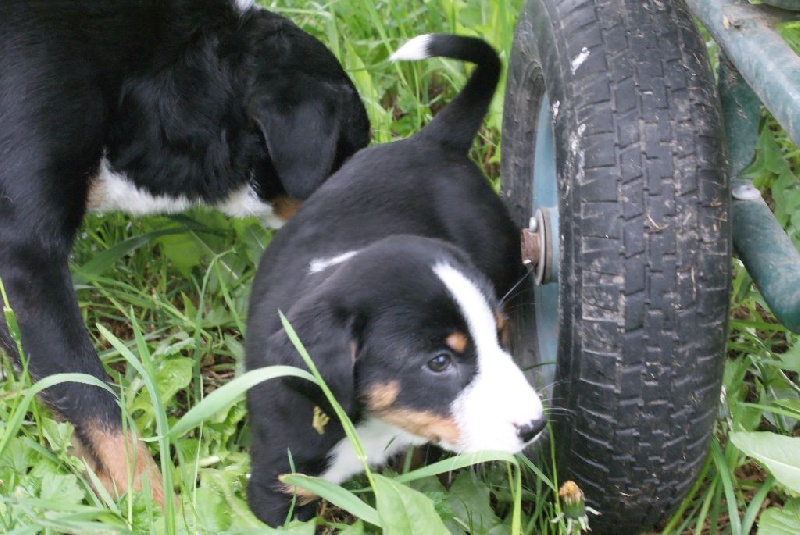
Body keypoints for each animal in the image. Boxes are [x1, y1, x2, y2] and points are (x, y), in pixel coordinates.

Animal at [245, 34, 546, 526]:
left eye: (499, 337)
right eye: (439, 362)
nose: (535, 426)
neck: (371, 426)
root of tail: (432, 140)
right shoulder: (277, 484)